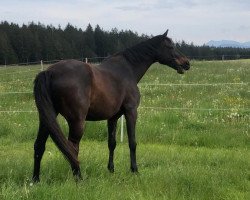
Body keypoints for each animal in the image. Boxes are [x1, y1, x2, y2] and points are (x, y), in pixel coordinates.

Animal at [32, 30, 189, 183]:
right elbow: (132, 142)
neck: (128, 70)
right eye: (170, 46)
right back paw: (79, 179)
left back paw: (35, 180)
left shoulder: (113, 117)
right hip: (76, 121)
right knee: (72, 148)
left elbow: (111, 143)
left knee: (39, 145)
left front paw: (111, 170)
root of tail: (49, 72)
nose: (186, 63)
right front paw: (134, 170)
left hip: (47, 119)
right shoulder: (131, 111)